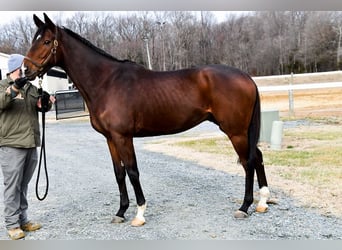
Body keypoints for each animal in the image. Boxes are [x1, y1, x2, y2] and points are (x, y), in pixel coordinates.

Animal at [23, 12, 270, 226]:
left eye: (46, 42)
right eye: (34, 40)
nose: (25, 71)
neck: (106, 82)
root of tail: (246, 77)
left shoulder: (123, 137)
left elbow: (133, 172)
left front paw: (139, 214)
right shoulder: (110, 139)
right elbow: (119, 173)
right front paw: (120, 212)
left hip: (235, 131)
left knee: (248, 162)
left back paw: (244, 206)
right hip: (241, 131)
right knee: (257, 157)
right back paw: (263, 202)